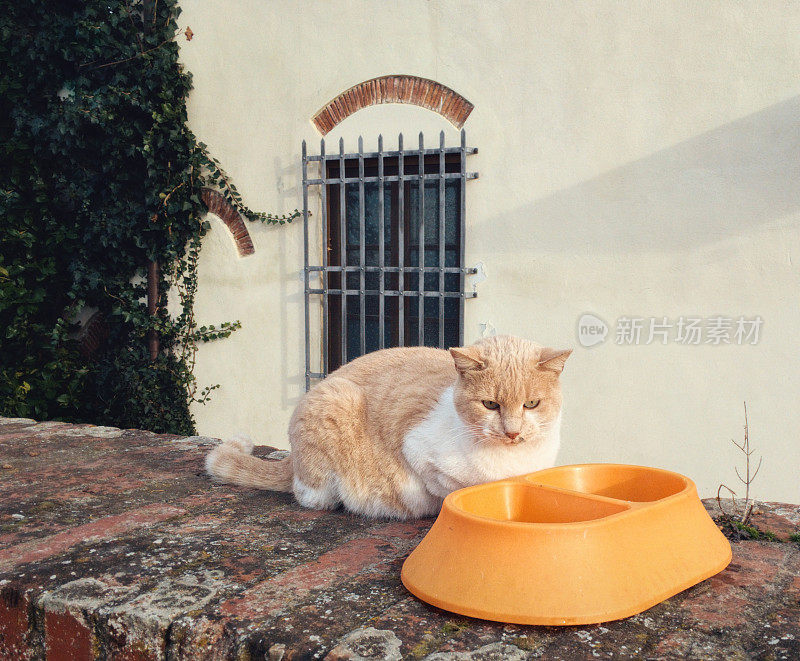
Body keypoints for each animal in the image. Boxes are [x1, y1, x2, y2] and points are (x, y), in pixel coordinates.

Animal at [205, 338, 568, 520]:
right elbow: (444, 488)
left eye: (531, 404)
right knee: (308, 494)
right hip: (334, 402)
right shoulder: (417, 450)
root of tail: (292, 460)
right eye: (490, 405)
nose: (512, 433)